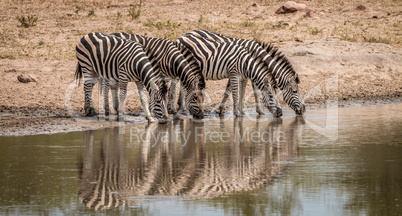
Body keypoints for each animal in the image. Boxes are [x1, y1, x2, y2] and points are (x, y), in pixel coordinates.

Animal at [175, 30, 304, 116]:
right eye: (295, 91)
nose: (304, 110)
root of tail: (186, 35)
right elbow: (253, 91)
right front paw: (258, 111)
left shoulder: (245, 73)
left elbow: (234, 91)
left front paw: (226, 110)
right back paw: (181, 107)